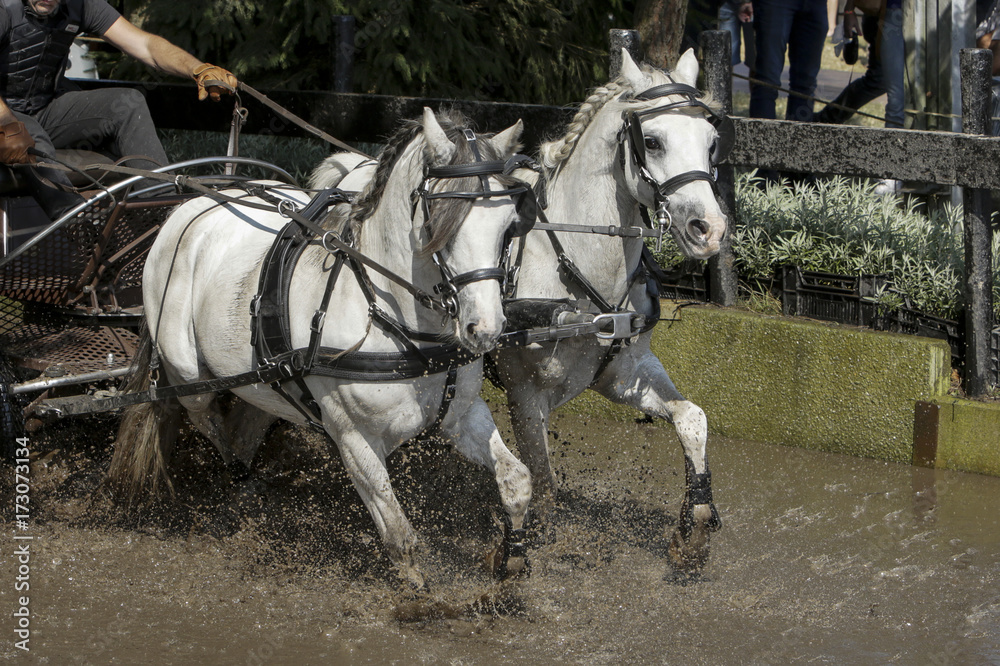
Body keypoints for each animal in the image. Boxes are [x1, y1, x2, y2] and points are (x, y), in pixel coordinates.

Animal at [107, 109, 532, 588]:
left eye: (509, 225)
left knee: (250, 414)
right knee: (207, 419)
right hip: (188, 376)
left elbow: (518, 480)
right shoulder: (353, 439)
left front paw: (510, 559)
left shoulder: (462, 415)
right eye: (441, 219)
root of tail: (188, 208)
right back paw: (238, 473)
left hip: (262, 378)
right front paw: (420, 595)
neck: (394, 320)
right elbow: (399, 535)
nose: (485, 328)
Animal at [306, 52, 728, 572]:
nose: (709, 229)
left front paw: (696, 526)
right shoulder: (526, 392)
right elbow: (542, 478)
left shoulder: (625, 370)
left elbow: (693, 419)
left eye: (711, 142)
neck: (570, 257)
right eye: (652, 141)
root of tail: (353, 167)